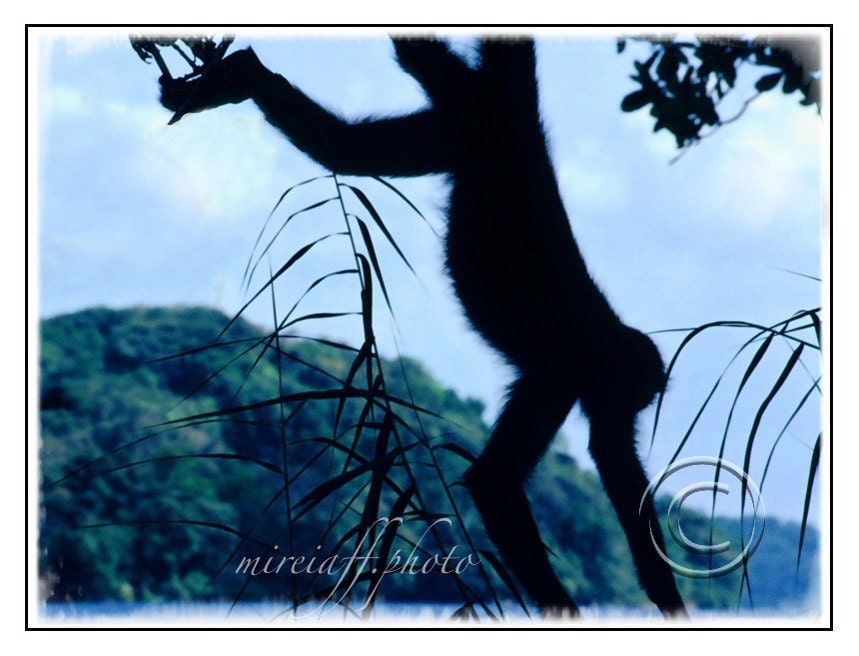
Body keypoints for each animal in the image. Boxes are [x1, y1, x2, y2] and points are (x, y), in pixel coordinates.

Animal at [158, 36, 688, 619]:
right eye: (635, 396)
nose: (636, 408)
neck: (603, 337)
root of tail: (519, 121)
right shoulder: (558, 378)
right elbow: (496, 482)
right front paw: (565, 609)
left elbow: (615, 462)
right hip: (467, 118)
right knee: (381, 102)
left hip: (450, 129)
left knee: (352, 137)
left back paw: (242, 78)